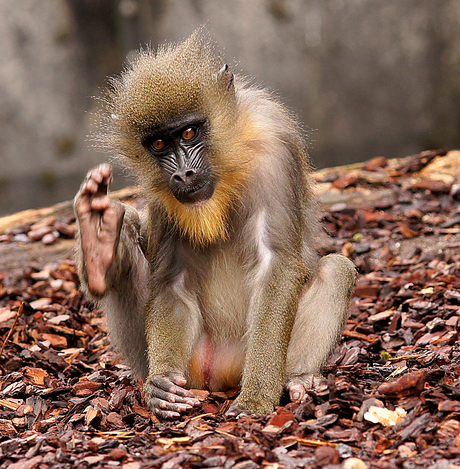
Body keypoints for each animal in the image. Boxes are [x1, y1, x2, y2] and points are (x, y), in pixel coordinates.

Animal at [74, 31, 356, 416]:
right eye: (159, 143)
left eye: (189, 133)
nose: (183, 174)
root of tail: (215, 372)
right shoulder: (160, 195)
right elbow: (173, 280)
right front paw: (161, 384)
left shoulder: (274, 149)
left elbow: (277, 262)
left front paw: (256, 398)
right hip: (185, 362)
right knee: (129, 234)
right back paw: (99, 246)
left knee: (336, 269)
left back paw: (298, 379)